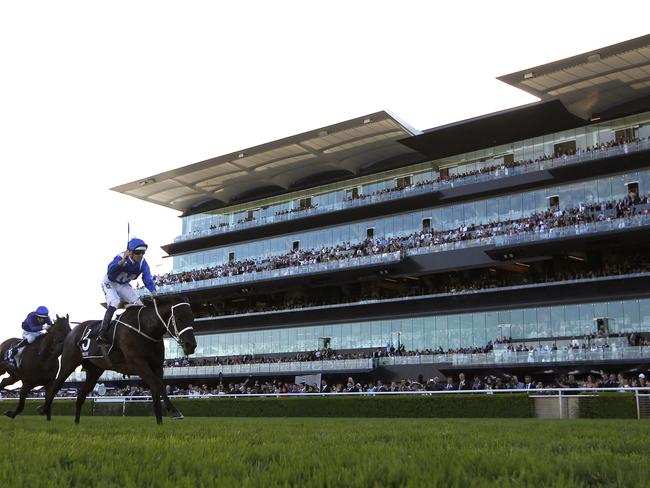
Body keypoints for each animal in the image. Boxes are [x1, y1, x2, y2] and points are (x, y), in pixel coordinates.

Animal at [42, 294, 195, 424]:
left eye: (192, 318)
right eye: (180, 318)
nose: (191, 345)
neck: (145, 329)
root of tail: (71, 332)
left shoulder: (157, 367)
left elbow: (156, 390)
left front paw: (160, 424)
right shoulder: (139, 365)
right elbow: (159, 385)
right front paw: (175, 411)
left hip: (94, 371)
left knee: (80, 396)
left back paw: (76, 423)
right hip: (68, 365)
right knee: (54, 387)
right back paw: (45, 412)